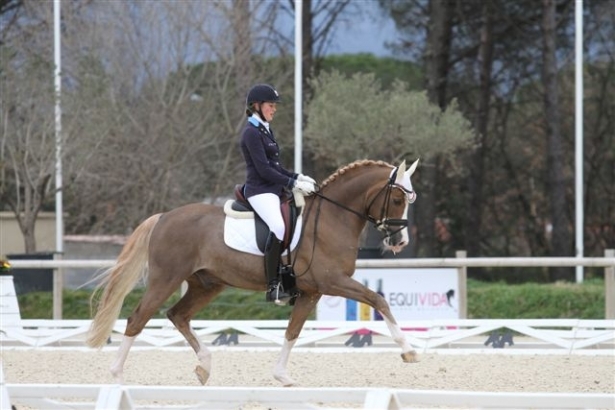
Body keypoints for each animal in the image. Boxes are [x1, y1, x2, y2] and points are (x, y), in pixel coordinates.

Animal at [86, 158, 422, 384]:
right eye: (396, 199)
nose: (400, 242)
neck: (331, 217)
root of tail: (164, 217)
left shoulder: (312, 292)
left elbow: (292, 331)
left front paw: (282, 376)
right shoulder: (333, 281)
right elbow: (379, 300)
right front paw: (408, 351)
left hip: (206, 284)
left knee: (177, 315)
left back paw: (204, 366)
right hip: (165, 279)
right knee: (137, 318)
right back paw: (117, 376)